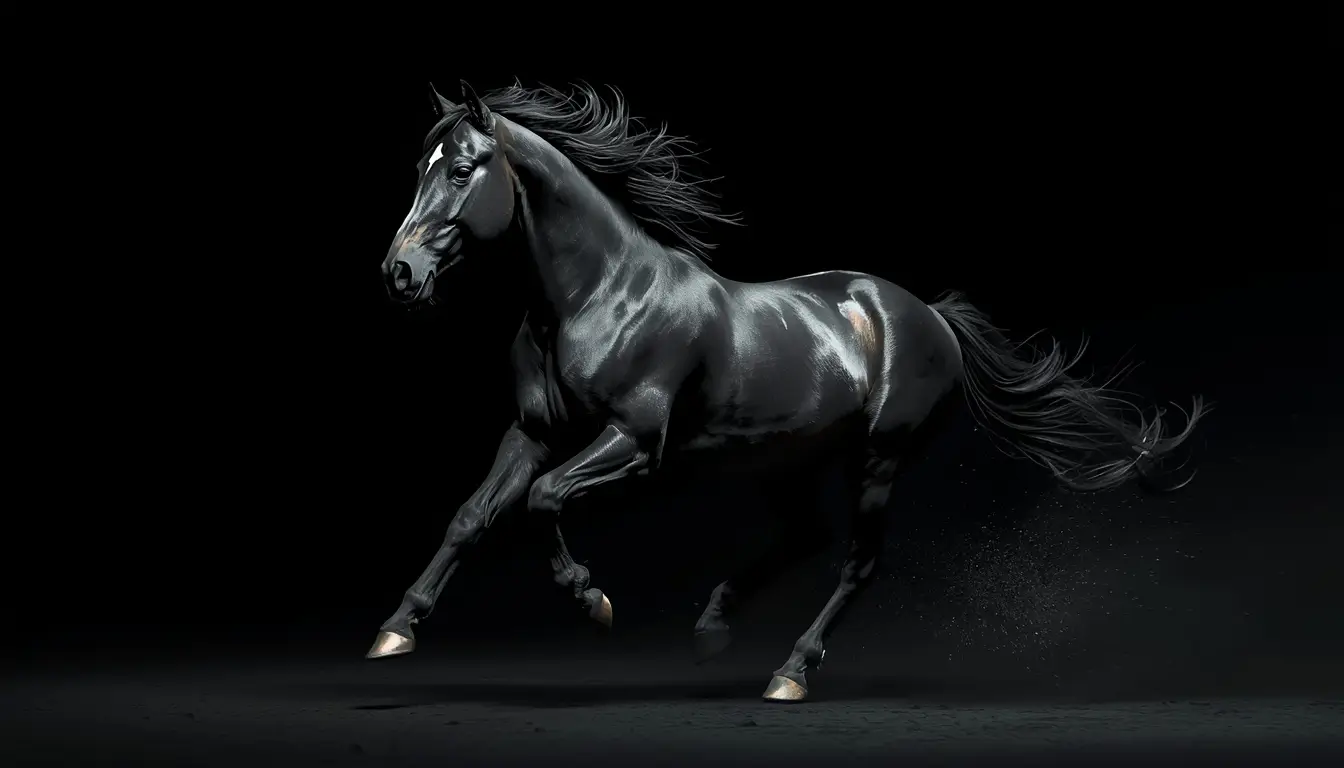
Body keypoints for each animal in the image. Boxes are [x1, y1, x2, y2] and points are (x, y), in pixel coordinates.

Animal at [366, 80, 1206, 703]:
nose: (399, 274)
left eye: (462, 170)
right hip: (788, 458)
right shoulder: (531, 431)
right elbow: (471, 517)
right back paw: (713, 629)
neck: (593, 294)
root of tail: (931, 315)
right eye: (419, 168)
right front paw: (396, 629)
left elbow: (543, 500)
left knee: (858, 563)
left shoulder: (634, 441)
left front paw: (592, 601)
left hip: (879, 458)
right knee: (804, 538)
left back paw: (790, 672)